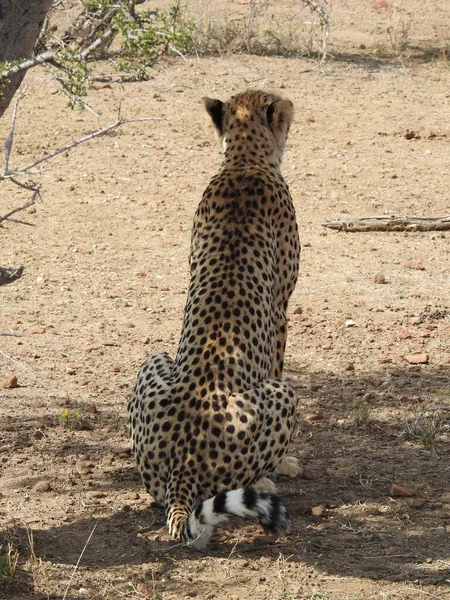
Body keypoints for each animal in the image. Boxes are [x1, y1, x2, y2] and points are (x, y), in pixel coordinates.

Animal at [128, 90, 300, 548]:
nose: (290, 102)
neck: (244, 161)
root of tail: (185, 459)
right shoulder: (281, 311)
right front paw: (286, 463)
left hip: (153, 359)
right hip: (284, 393)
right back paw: (268, 477)